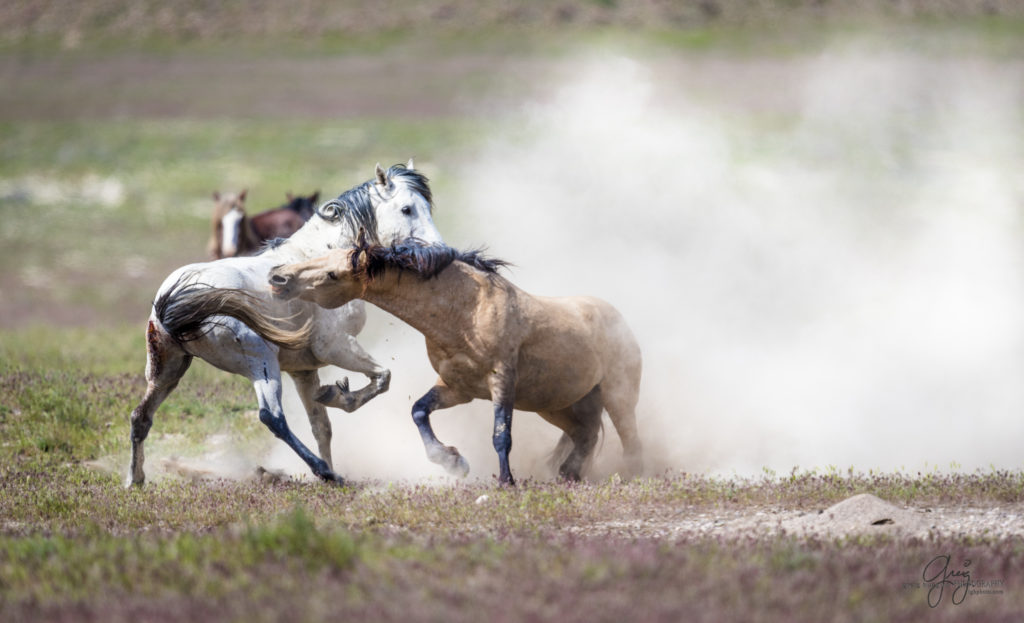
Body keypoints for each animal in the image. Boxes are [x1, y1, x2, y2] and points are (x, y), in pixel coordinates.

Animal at [128, 160, 440, 487]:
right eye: (407, 209)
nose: (437, 251)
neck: (319, 258)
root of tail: (175, 299)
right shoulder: (337, 347)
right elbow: (382, 378)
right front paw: (338, 397)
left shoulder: (304, 370)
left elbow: (321, 425)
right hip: (261, 363)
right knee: (272, 417)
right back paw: (323, 470)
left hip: (168, 368)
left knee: (140, 416)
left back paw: (135, 479)